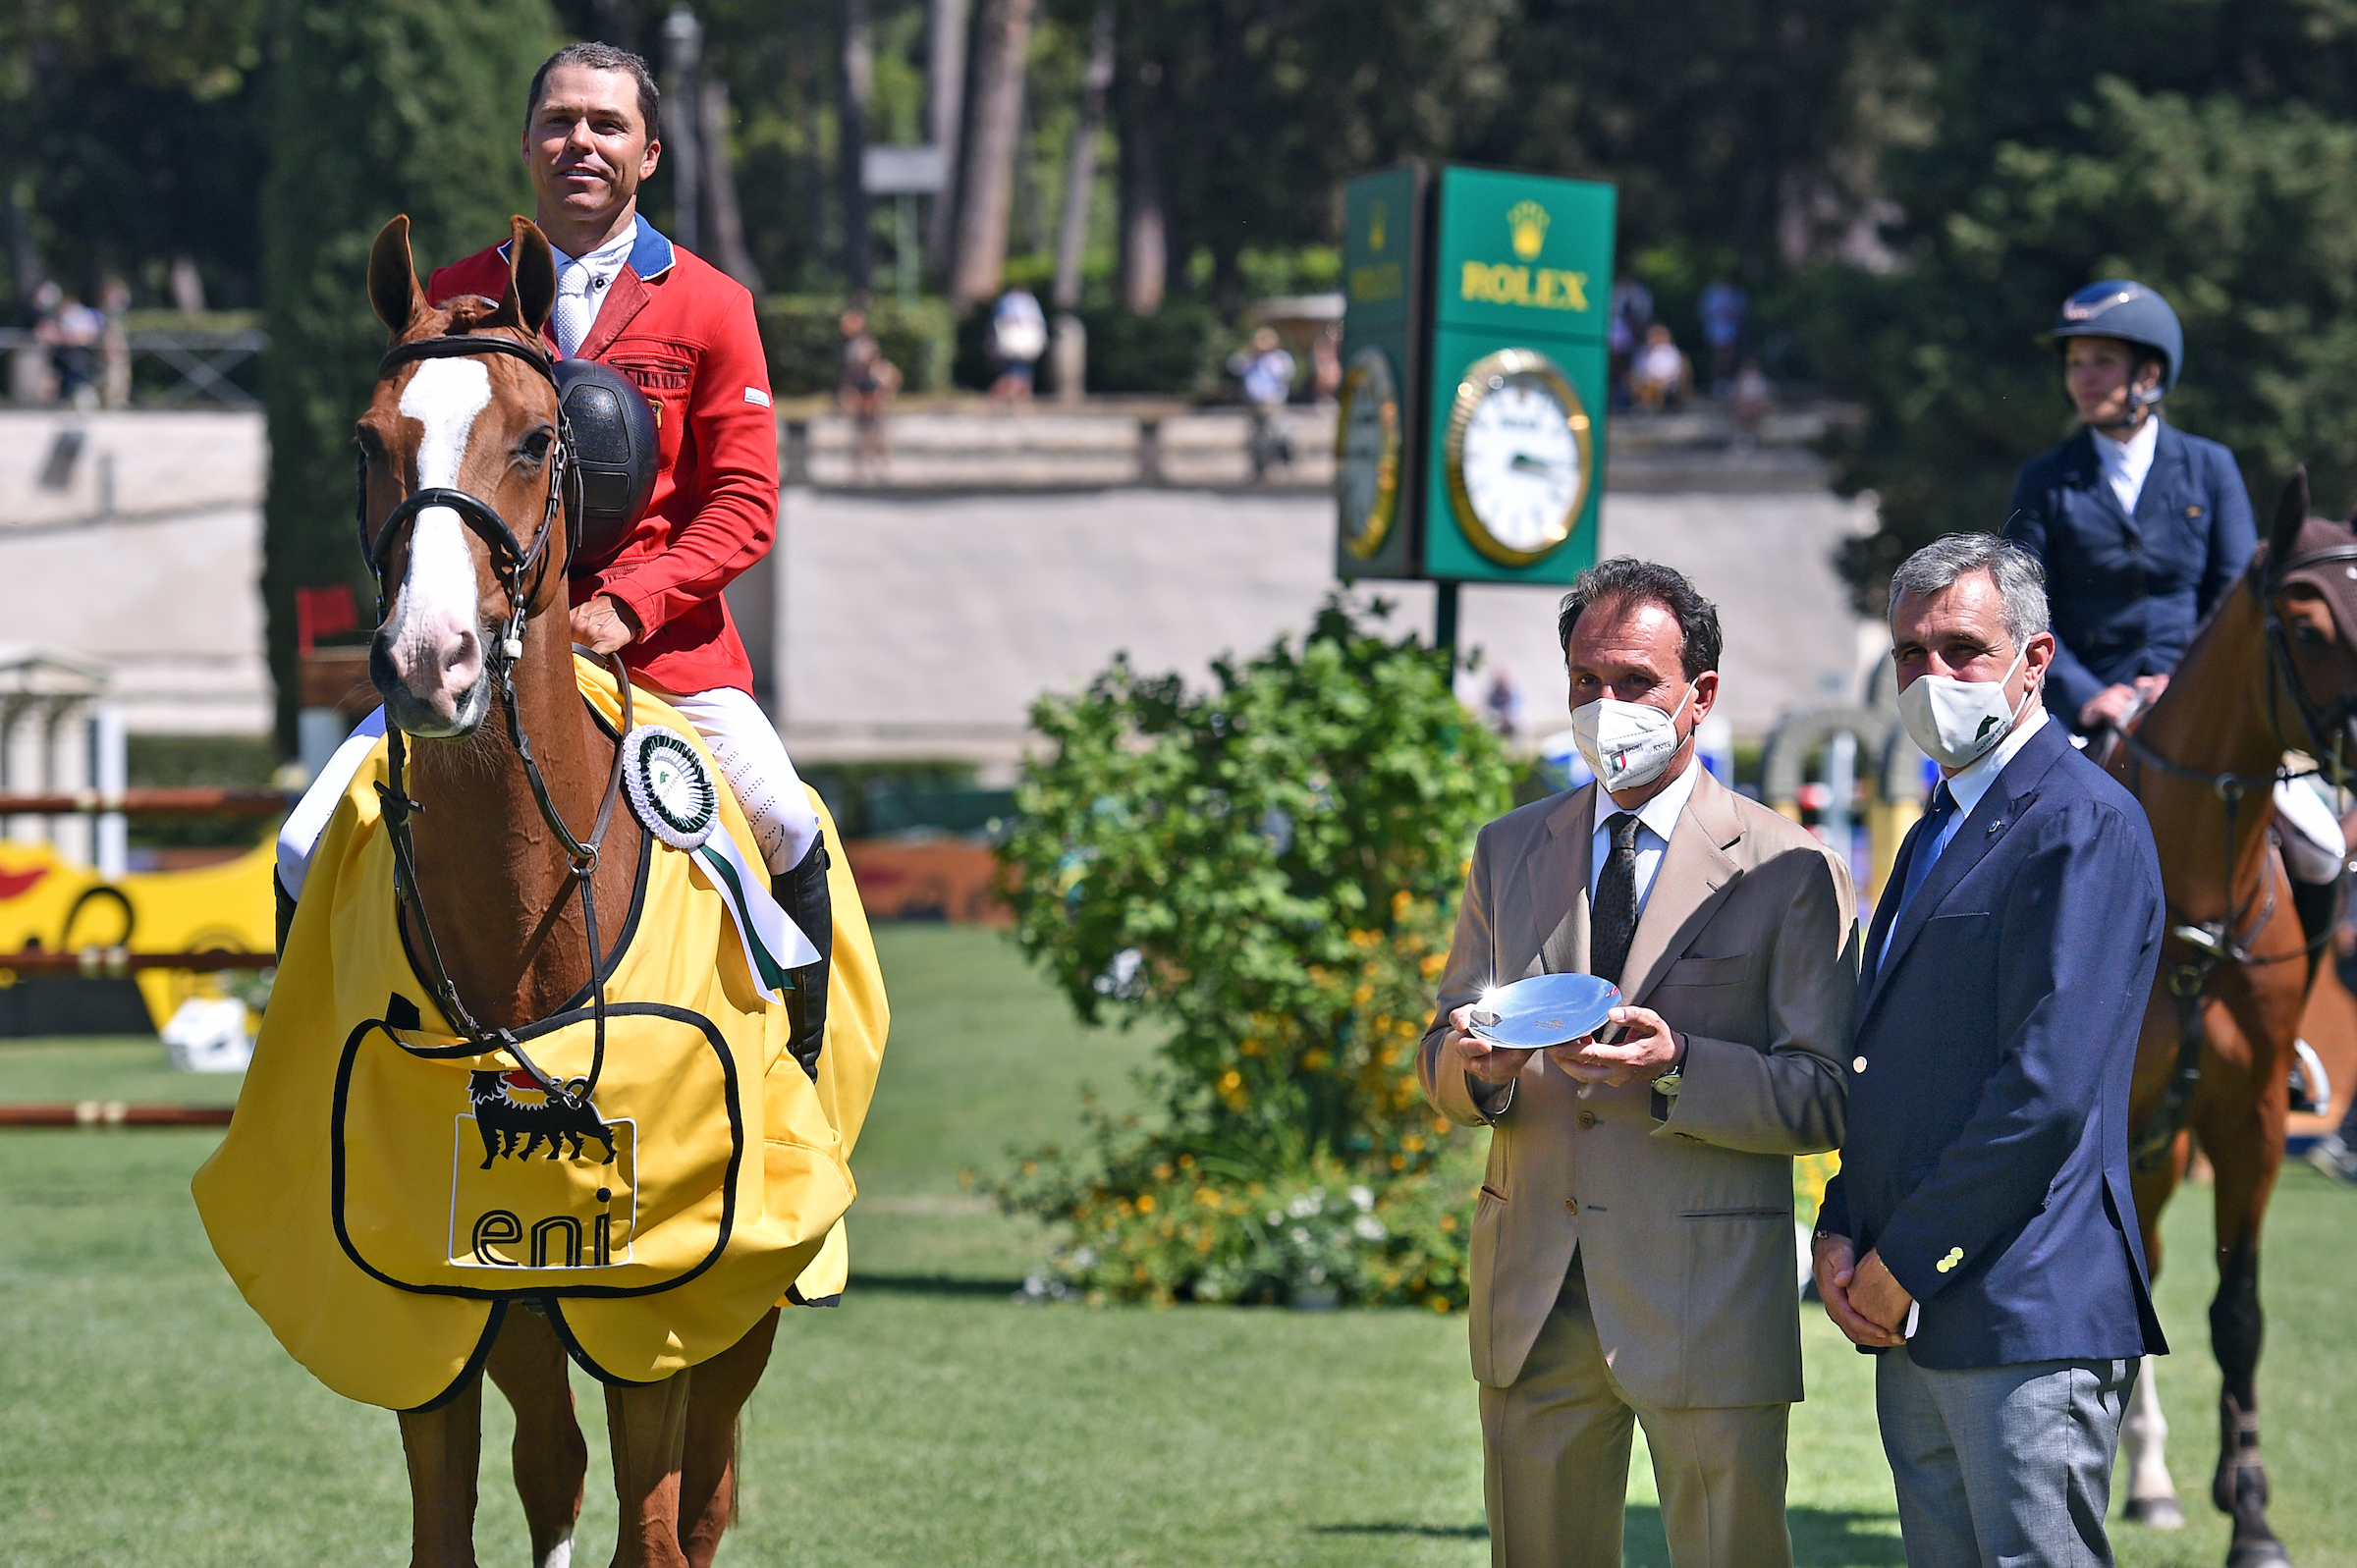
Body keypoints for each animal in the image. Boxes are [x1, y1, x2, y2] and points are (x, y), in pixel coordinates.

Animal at [360, 216, 773, 1565]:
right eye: (370, 440)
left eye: (543, 437)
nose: (429, 660)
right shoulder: (438, 1304)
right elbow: (456, 1521)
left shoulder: (665, 1308)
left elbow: (659, 1525)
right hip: (530, 1321)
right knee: (553, 1464)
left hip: (736, 1318)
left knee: (702, 1497)